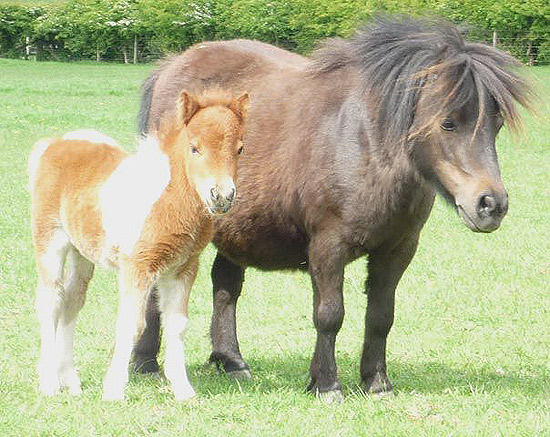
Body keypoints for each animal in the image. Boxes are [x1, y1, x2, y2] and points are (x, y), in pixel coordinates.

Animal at [30, 90, 250, 400]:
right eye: (194, 148)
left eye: (240, 149)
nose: (221, 196)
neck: (168, 198)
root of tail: (55, 143)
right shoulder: (138, 265)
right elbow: (132, 323)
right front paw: (113, 389)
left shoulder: (182, 269)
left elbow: (177, 324)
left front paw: (183, 390)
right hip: (51, 241)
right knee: (51, 301)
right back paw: (49, 383)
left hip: (82, 252)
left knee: (72, 301)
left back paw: (70, 381)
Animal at [136, 16, 532, 398]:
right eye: (448, 123)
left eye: (496, 123)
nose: (491, 204)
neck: (364, 141)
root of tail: (171, 68)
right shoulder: (328, 247)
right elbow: (329, 315)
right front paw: (326, 384)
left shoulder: (398, 250)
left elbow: (381, 316)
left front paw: (377, 383)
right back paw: (146, 363)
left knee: (226, 286)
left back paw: (231, 361)